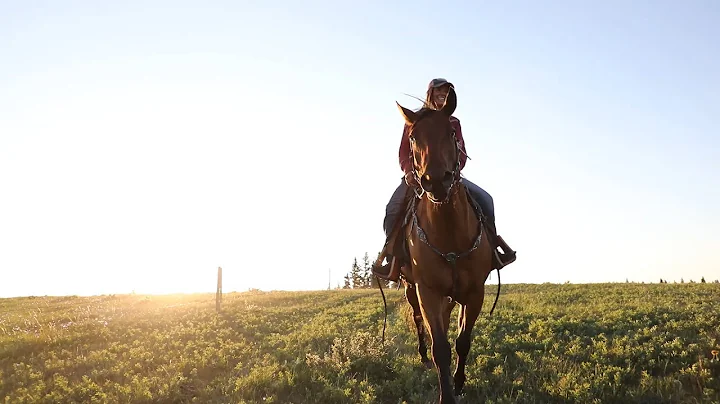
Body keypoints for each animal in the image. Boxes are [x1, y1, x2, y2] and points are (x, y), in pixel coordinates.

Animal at [390, 87, 498, 404]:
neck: (449, 233)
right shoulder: (428, 291)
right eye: (413, 138)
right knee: (417, 319)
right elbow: (441, 347)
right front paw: (446, 392)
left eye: (451, 132)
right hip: (410, 287)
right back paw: (422, 356)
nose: (435, 181)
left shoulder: (474, 292)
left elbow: (462, 341)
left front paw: (459, 384)